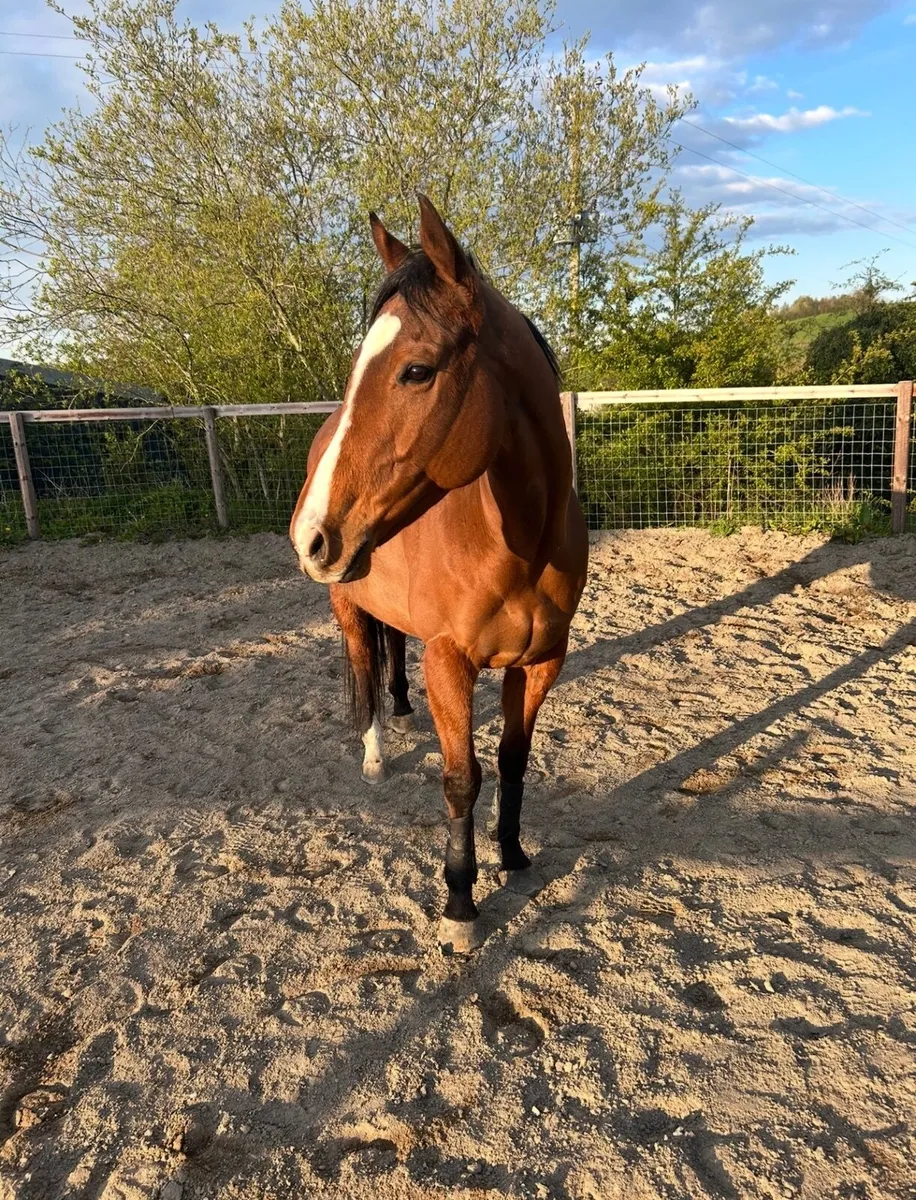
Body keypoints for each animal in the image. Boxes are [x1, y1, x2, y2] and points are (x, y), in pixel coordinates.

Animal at [290, 195, 588, 952]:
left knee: (392, 651)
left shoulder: (541, 662)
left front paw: (513, 854)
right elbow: (462, 779)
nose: (310, 536)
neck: (518, 538)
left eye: (417, 370)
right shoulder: (451, 662)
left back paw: (400, 709)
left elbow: (513, 759)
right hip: (347, 605)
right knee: (364, 665)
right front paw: (460, 904)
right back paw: (374, 749)